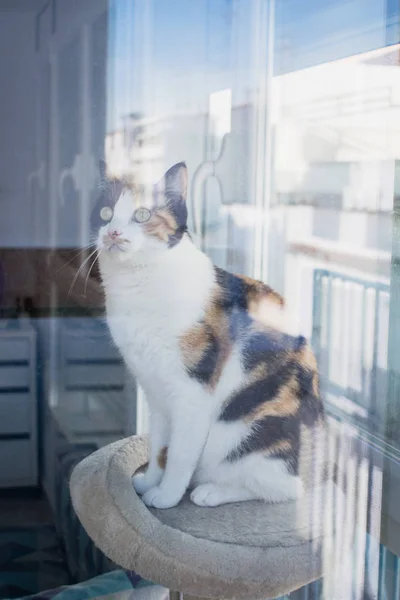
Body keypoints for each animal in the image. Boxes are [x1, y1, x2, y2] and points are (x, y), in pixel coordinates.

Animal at [96, 162, 324, 508]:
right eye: (105, 213)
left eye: (142, 215)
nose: (112, 232)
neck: (137, 286)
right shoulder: (155, 392)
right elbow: (159, 446)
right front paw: (149, 481)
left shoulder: (192, 392)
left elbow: (179, 454)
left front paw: (166, 496)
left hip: (253, 432)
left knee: (281, 489)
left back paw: (211, 491)